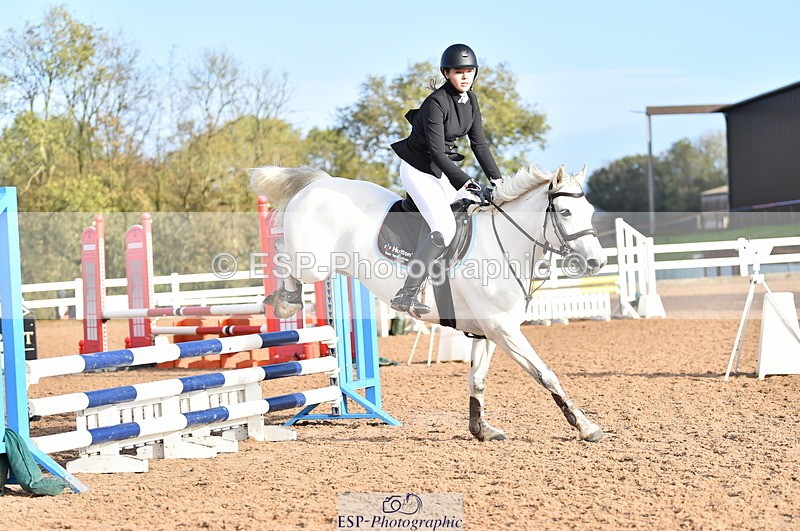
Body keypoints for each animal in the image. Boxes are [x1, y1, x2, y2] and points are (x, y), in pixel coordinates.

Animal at [249, 164, 607, 442]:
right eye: (565, 212)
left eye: (590, 212)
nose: (597, 263)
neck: (504, 243)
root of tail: (320, 182)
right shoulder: (503, 329)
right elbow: (546, 375)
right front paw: (586, 426)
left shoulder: (490, 331)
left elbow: (477, 379)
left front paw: (480, 429)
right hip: (313, 262)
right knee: (281, 250)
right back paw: (285, 300)